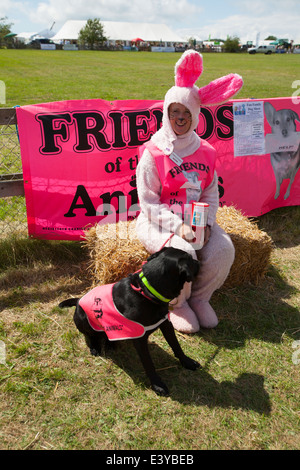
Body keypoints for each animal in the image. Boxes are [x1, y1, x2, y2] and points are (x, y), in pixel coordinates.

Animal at [59, 248, 200, 394]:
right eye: (191, 260)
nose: (199, 262)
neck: (147, 291)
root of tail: (78, 300)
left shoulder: (166, 324)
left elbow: (176, 346)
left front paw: (187, 362)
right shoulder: (139, 338)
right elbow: (149, 363)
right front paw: (157, 384)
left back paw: (110, 344)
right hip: (83, 319)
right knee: (90, 335)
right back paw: (95, 347)